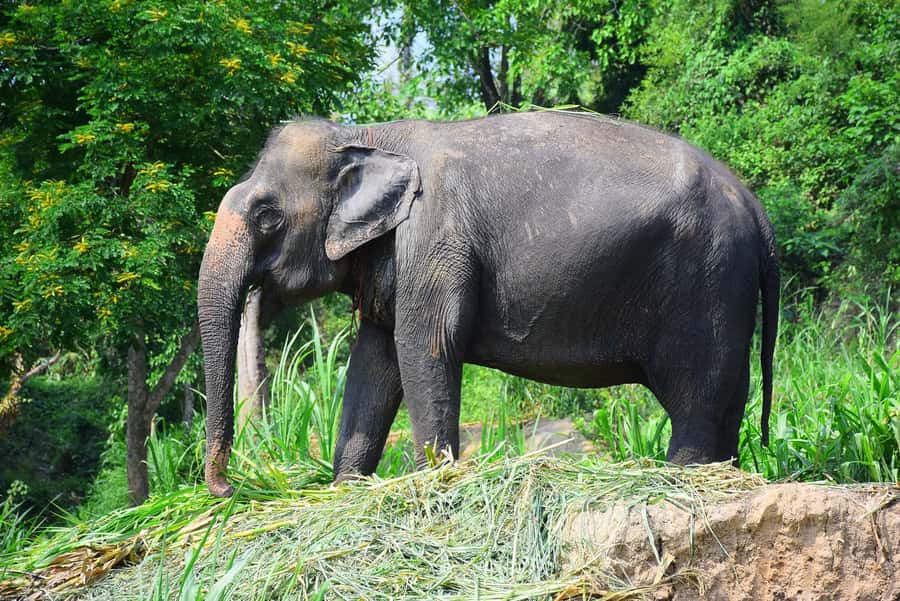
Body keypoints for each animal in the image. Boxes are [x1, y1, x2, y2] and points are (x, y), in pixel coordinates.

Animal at [198, 111, 780, 497]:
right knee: (726, 396)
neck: (366, 135)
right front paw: (347, 489)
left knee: (697, 394)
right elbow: (375, 360)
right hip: (724, 287)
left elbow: (425, 347)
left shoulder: (433, 240)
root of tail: (754, 205)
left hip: (704, 281)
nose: (228, 490)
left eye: (267, 215)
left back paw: (681, 478)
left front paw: (433, 478)